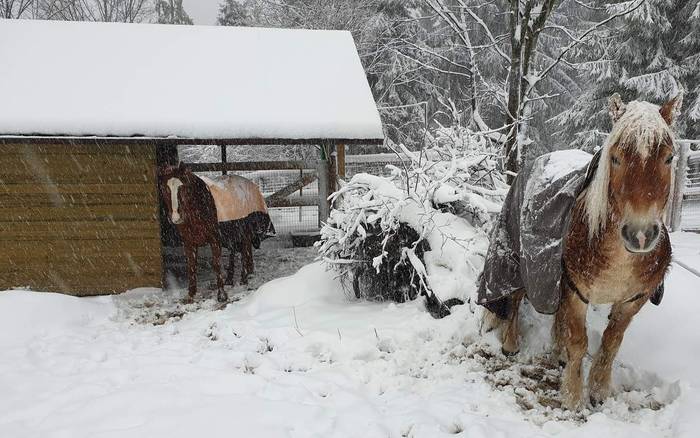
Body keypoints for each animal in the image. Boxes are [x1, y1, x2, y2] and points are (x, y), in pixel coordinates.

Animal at [159, 163, 274, 302]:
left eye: (183, 188)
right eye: (165, 189)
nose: (176, 217)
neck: (201, 205)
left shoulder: (214, 239)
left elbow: (216, 264)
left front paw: (222, 295)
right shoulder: (189, 242)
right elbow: (191, 266)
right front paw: (190, 294)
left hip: (244, 232)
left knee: (245, 251)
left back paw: (243, 278)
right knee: (233, 252)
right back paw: (230, 279)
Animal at [484, 93, 680, 410]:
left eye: (669, 157)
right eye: (615, 158)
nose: (640, 234)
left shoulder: (632, 300)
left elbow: (611, 343)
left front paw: (598, 390)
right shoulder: (575, 292)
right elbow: (579, 342)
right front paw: (573, 397)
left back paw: (557, 353)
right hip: (519, 262)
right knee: (513, 300)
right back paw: (511, 344)